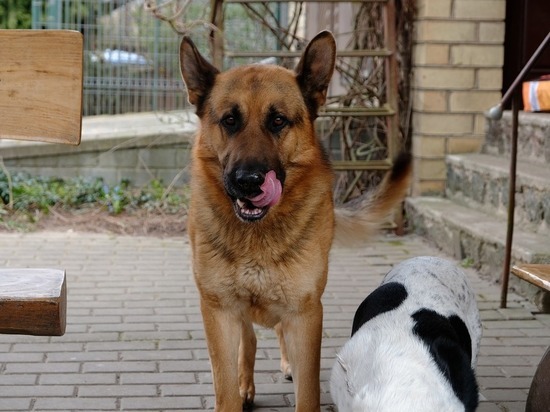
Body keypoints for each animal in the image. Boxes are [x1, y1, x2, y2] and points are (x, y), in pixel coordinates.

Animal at [181, 30, 414, 410]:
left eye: (278, 120)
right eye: (230, 120)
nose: (249, 181)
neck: (257, 236)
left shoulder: (305, 313)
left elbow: (307, 390)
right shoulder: (219, 311)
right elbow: (225, 385)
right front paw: (238, 388)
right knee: (250, 339)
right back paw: (247, 383)